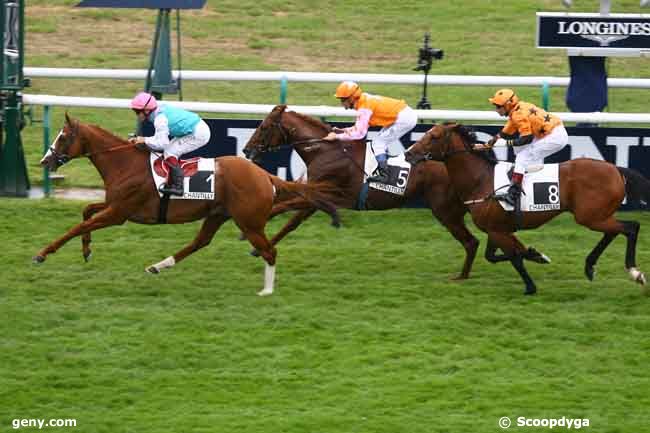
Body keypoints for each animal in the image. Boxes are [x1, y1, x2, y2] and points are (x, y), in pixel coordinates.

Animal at [34, 113, 340, 296]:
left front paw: (43, 253)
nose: (45, 161)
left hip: (249, 222)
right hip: (218, 214)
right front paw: (86, 250)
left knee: (269, 251)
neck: (124, 163)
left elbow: (78, 226)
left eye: (63, 137)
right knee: (200, 242)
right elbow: (85, 213)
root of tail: (264, 175)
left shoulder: (119, 213)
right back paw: (159, 265)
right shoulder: (115, 206)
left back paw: (266, 291)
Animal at [243, 105, 548, 280]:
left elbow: (286, 207)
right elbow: (291, 220)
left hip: (444, 210)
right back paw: (528, 255)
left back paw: (465, 275)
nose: (246, 150)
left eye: (265, 126)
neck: (326, 150)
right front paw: (259, 246)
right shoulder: (317, 197)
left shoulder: (326, 192)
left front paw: (254, 235)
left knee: (472, 241)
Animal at [404, 123, 648, 296]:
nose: (408, 154)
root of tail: (616, 169)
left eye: (434, 136)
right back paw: (590, 266)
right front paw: (537, 254)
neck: (480, 180)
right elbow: (496, 255)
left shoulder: (497, 230)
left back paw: (634, 271)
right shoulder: (497, 228)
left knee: (630, 227)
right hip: (597, 215)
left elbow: (513, 257)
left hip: (589, 216)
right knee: (615, 231)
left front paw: (530, 286)